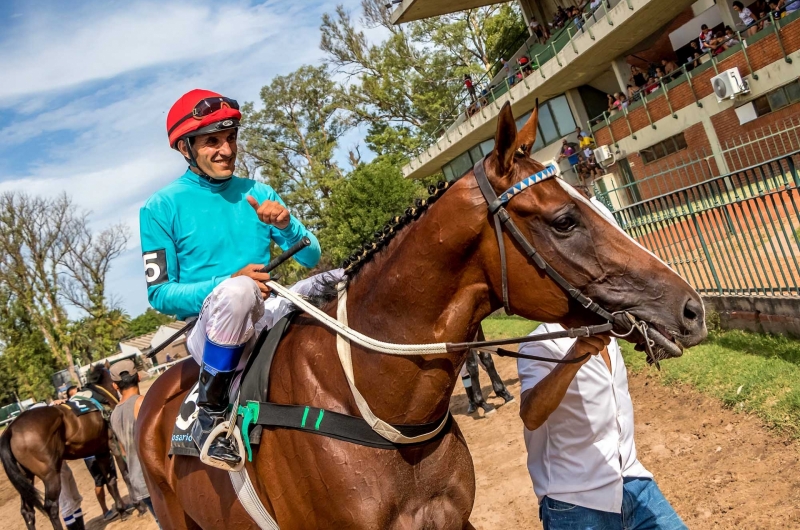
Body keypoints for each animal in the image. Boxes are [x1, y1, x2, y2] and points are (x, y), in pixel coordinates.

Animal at [0, 364, 128, 528]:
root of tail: (11, 428)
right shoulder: (114, 443)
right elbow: (124, 472)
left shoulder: (101, 451)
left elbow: (110, 480)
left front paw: (122, 510)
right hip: (50, 475)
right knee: (51, 508)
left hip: (25, 476)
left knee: (27, 510)